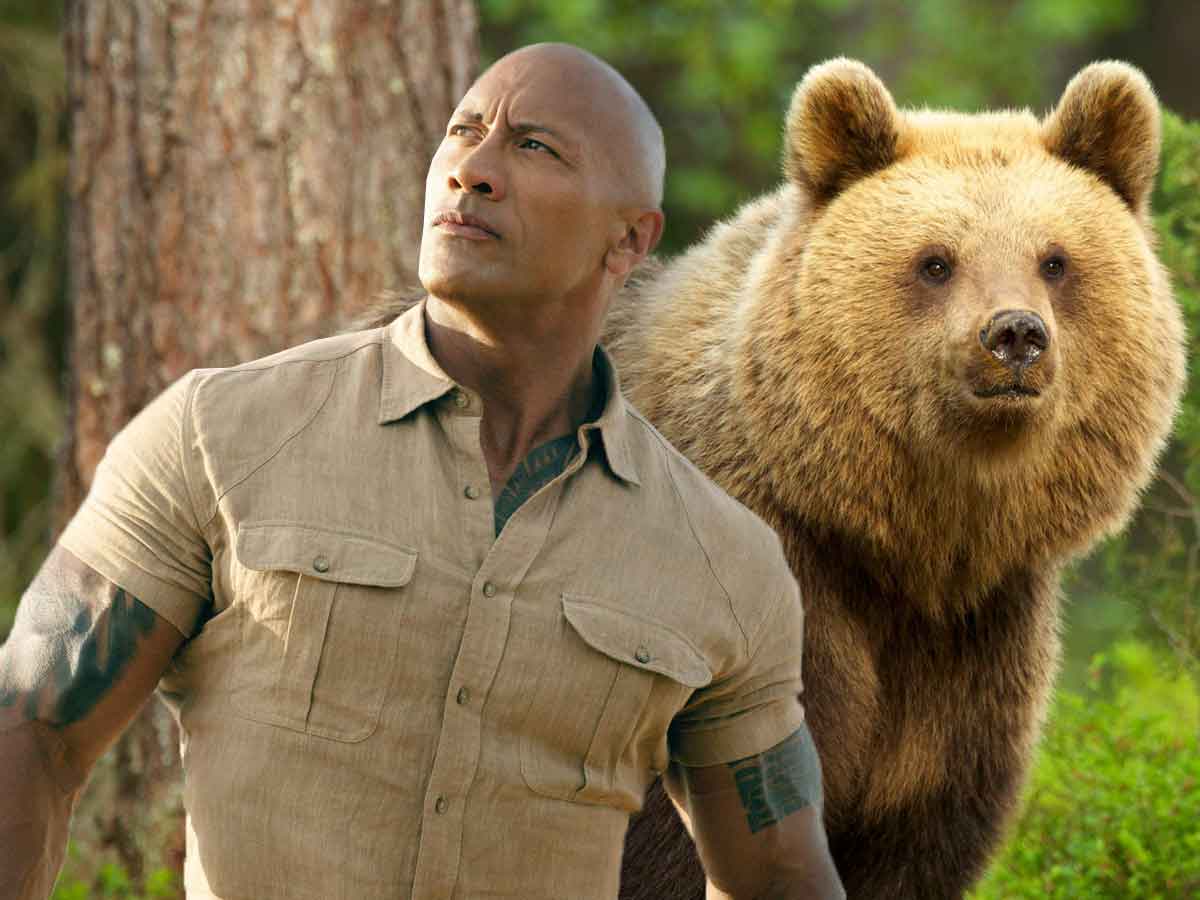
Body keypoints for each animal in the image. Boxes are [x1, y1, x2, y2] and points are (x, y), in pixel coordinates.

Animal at [606, 59, 1186, 900]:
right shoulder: (753, 610)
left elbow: (919, 837)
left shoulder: (970, 659)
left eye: (1055, 259)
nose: (1015, 335)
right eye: (936, 261)